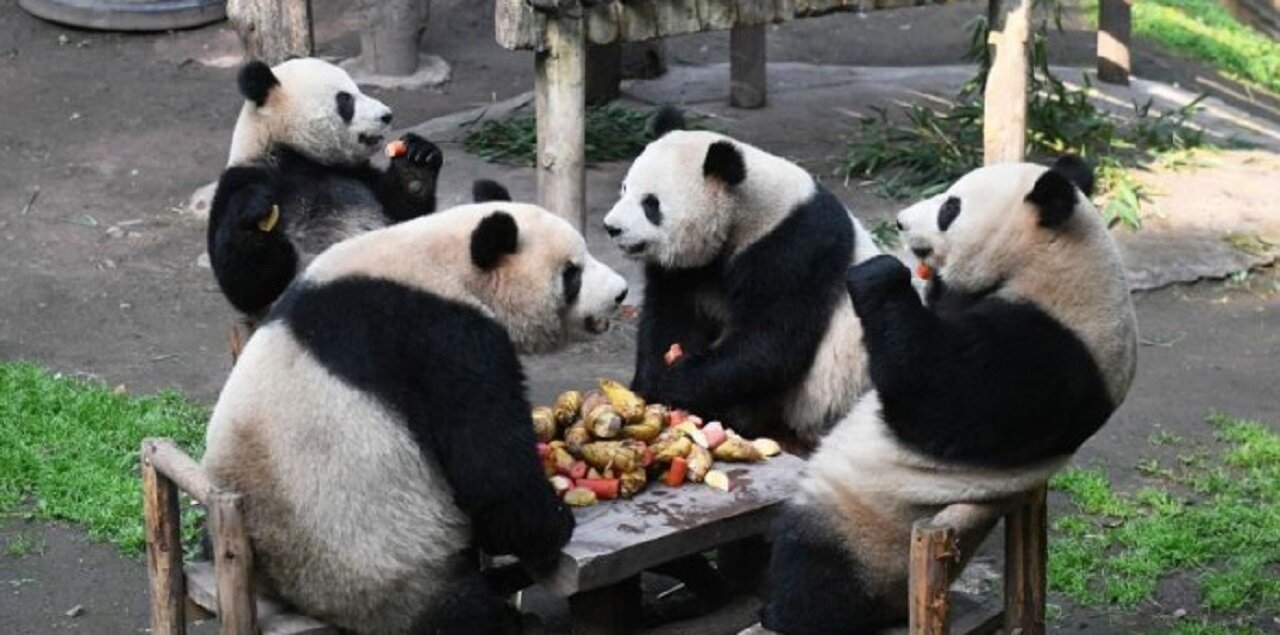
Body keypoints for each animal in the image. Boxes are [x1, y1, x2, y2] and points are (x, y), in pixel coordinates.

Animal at [198, 195, 629, 632]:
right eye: (572, 273)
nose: (621, 293)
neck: (441, 260)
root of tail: (287, 594)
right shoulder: (442, 337)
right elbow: (491, 467)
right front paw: (553, 523)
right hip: (388, 571)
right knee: (463, 612)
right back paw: (512, 612)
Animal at [208, 58, 445, 317]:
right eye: (346, 99)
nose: (387, 116)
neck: (297, 155)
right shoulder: (242, 180)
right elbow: (250, 286)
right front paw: (253, 210)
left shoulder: (358, 175)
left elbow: (405, 216)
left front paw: (416, 162)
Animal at [604, 110, 885, 445]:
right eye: (624, 188)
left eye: (651, 204)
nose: (612, 228)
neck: (745, 212)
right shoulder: (687, 269)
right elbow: (670, 317)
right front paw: (650, 381)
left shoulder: (795, 247)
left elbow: (769, 341)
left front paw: (674, 382)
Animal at [752, 156, 1136, 632]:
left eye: (950, 208)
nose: (900, 221)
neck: (1059, 262)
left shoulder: (1051, 354)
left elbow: (936, 399)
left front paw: (879, 275)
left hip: (870, 534)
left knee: (816, 571)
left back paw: (781, 608)